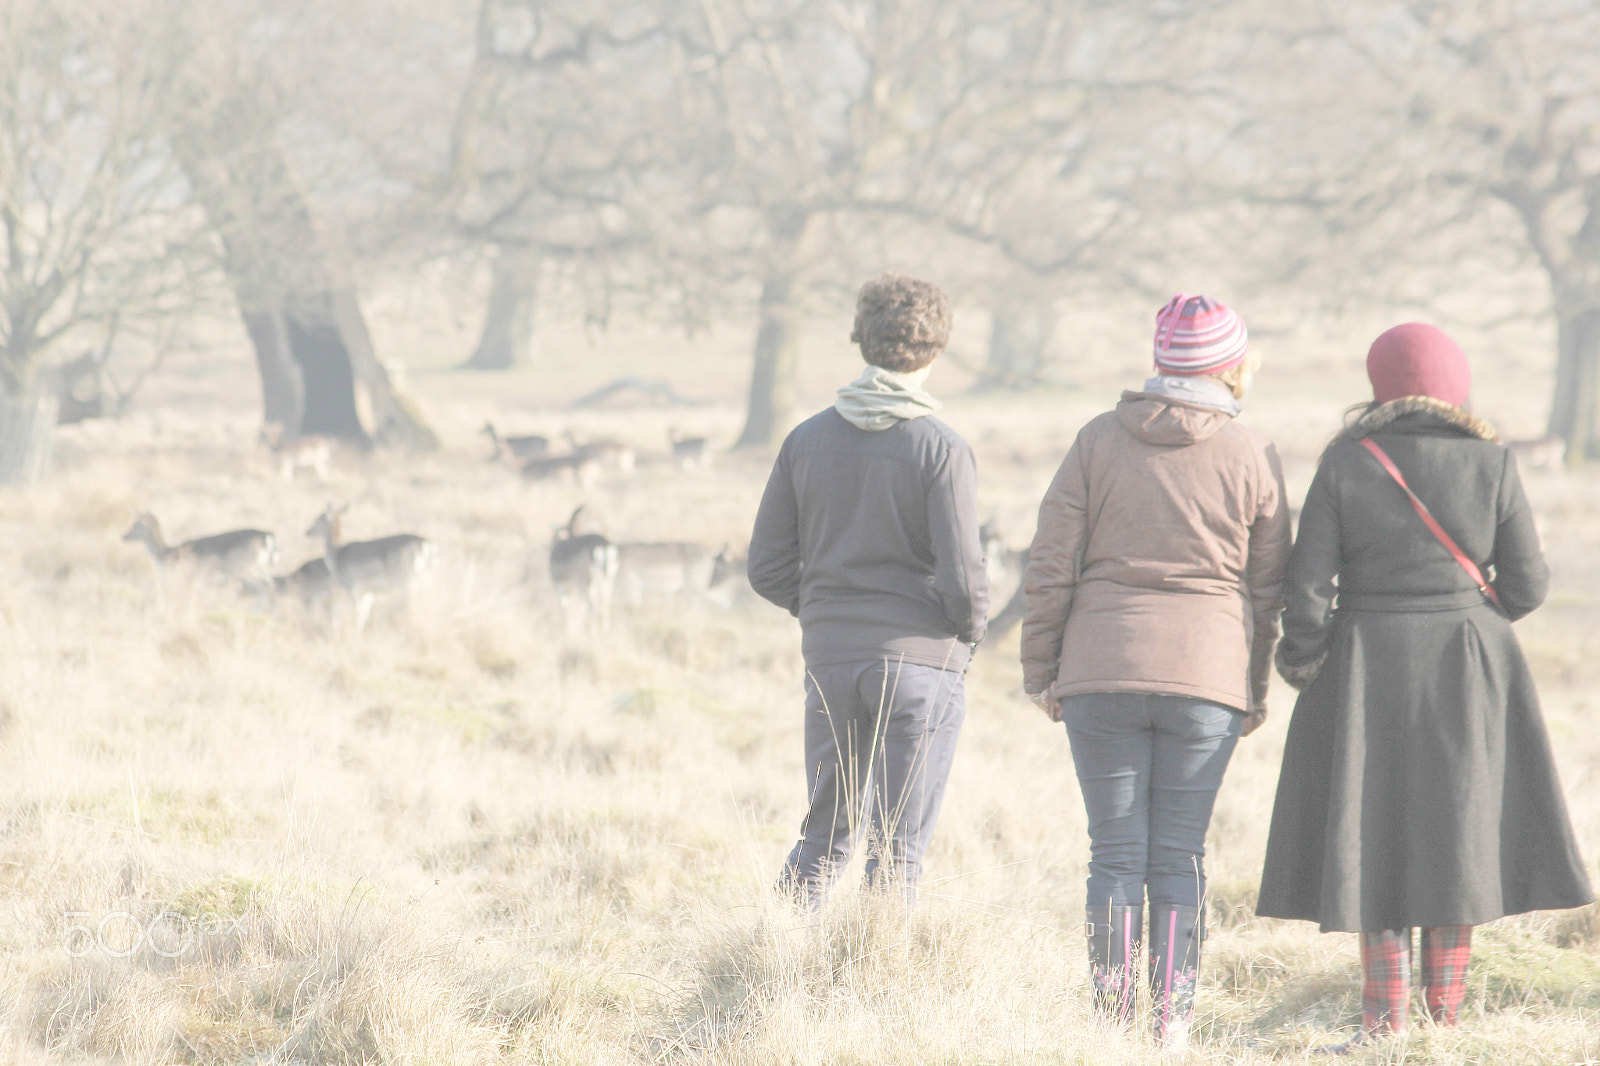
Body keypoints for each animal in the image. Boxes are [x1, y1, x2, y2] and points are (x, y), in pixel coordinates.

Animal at [121, 505, 278, 582]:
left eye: (137, 524)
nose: (124, 536)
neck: (168, 555)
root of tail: (268, 535)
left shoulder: (191, 573)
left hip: (244, 568)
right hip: (259, 567)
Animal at [305, 499, 438, 630]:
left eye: (319, 519)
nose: (307, 531)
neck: (337, 554)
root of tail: (425, 543)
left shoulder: (354, 589)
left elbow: (358, 616)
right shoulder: (368, 593)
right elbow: (364, 615)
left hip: (406, 580)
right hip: (427, 578)